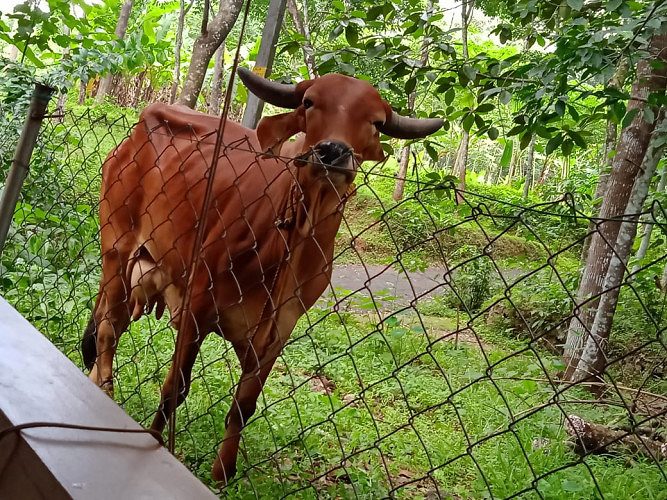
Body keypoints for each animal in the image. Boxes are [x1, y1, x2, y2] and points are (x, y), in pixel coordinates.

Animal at [81, 68, 443, 484]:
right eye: (309, 102)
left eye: (377, 122)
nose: (332, 152)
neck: (293, 236)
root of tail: (139, 128)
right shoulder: (198, 306)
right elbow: (175, 388)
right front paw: (155, 439)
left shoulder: (278, 331)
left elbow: (244, 406)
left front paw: (223, 472)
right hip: (116, 249)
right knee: (108, 327)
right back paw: (105, 392)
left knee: (110, 322)